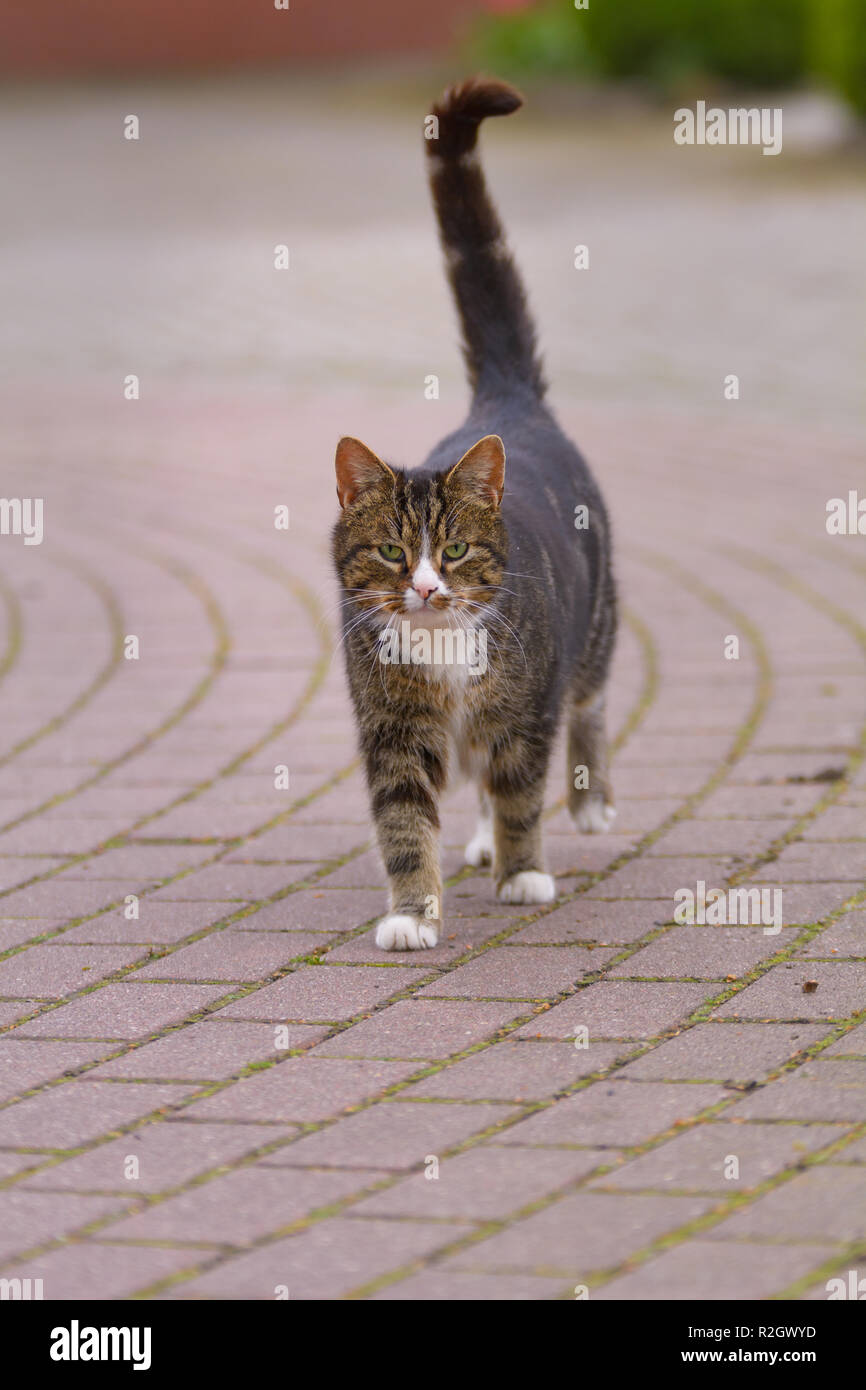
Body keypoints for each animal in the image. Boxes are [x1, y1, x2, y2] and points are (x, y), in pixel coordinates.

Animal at [330, 73, 617, 945]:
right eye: (394, 553)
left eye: (452, 551)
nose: (425, 587)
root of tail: (507, 401)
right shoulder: (390, 730)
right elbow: (402, 821)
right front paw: (412, 913)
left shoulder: (524, 712)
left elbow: (522, 792)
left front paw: (524, 874)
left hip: (593, 627)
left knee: (588, 705)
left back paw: (588, 803)